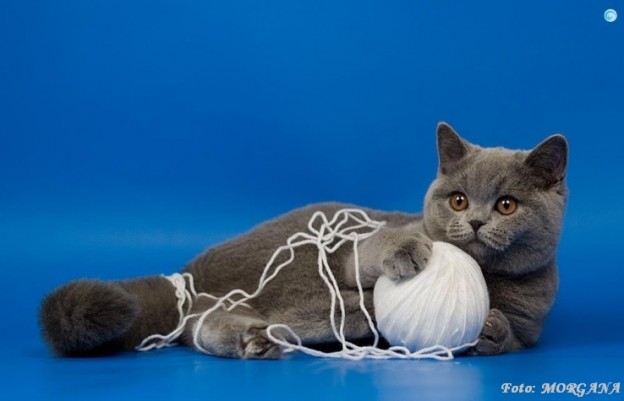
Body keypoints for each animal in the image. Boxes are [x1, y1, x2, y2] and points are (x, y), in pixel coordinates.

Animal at [39, 122, 567, 358]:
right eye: (458, 200)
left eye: (506, 205)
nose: (474, 222)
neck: (488, 275)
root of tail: (190, 275)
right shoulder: (357, 247)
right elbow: (374, 249)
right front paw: (405, 250)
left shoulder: (532, 326)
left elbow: (513, 340)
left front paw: (492, 328)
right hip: (304, 265)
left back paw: (253, 339)